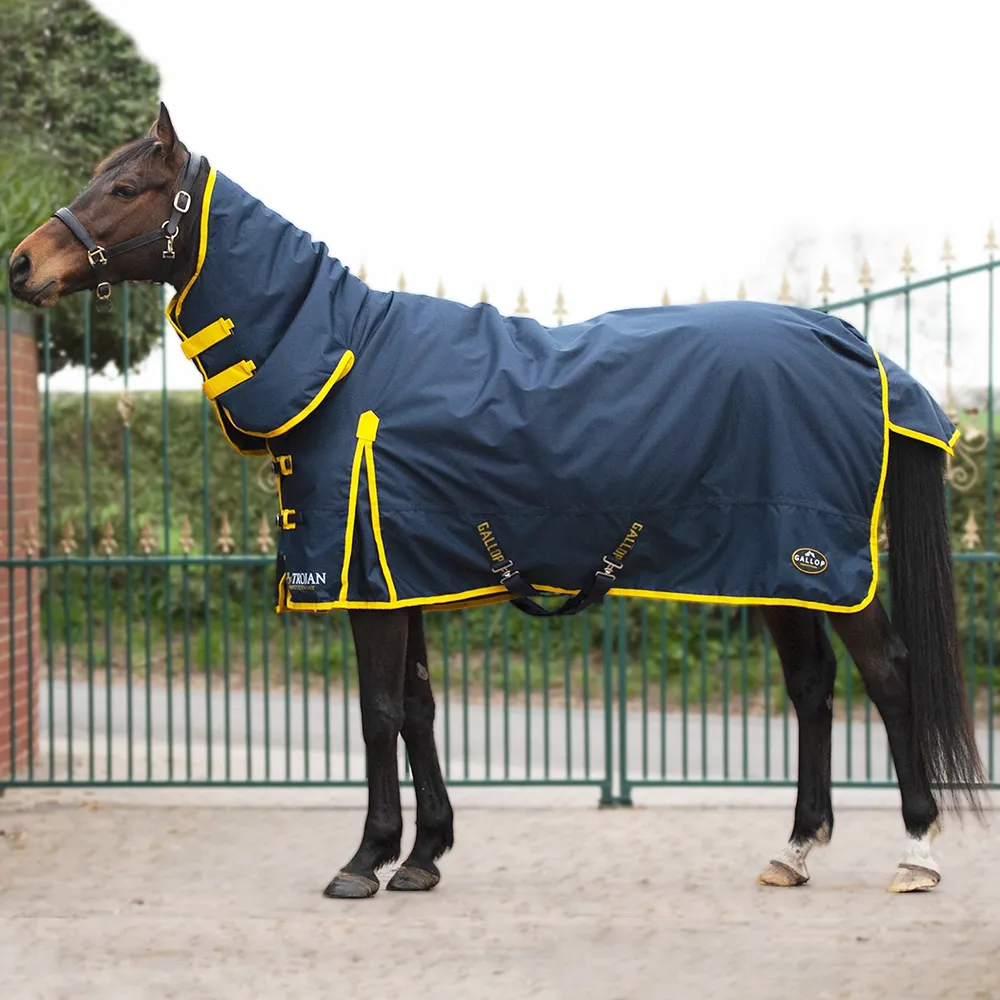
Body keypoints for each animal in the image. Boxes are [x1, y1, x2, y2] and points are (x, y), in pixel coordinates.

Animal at [9, 103, 986, 899]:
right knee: (812, 686)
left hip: (823, 565)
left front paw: (365, 860)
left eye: (124, 186)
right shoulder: (401, 573)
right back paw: (795, 850)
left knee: (889, 677)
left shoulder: (366, 580)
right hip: (777, 568)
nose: (21, 265)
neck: (345, 361)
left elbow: (378, 714)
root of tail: (849, 340)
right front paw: (423, 856)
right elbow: (419, 710)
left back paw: (918, 853)